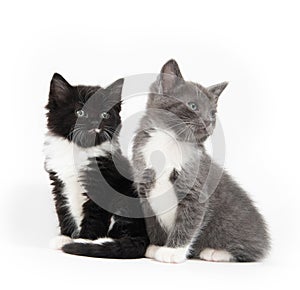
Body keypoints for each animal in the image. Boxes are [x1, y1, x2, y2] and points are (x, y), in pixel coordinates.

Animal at [43, 73, 149, 260]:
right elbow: (63, 210)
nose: (94, 121)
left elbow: (94, 216)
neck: (79, 150)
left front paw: (83, 241)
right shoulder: (59, 182)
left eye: (104, 114)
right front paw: (65, 237)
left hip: (125, 201)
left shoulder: (101, 186)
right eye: (80, 112)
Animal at [131, 60, 270, 264]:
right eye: (193, 106)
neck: (170, 142)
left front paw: (172, 251)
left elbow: (189, 221)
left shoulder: (196, 188)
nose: (209, 121)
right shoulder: (143, 184)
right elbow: (152, 221)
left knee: (250, 251)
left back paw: (215, 252)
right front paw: (155, 246)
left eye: (212, 113)